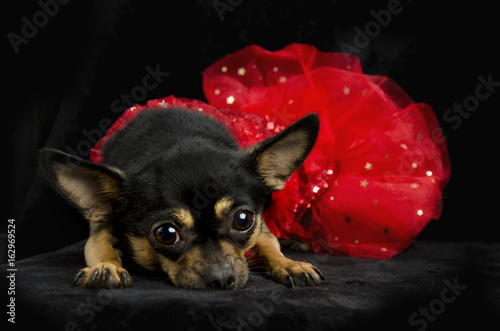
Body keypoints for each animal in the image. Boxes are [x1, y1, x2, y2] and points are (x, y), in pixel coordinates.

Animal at [38, 109, 320, 290]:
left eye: (242, 220)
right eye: (166, 234)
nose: (221, 279)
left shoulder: (261, 226)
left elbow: (270, 244)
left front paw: (288, 264)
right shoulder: (103, 224)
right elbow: (99, 246)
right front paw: (106, 267)